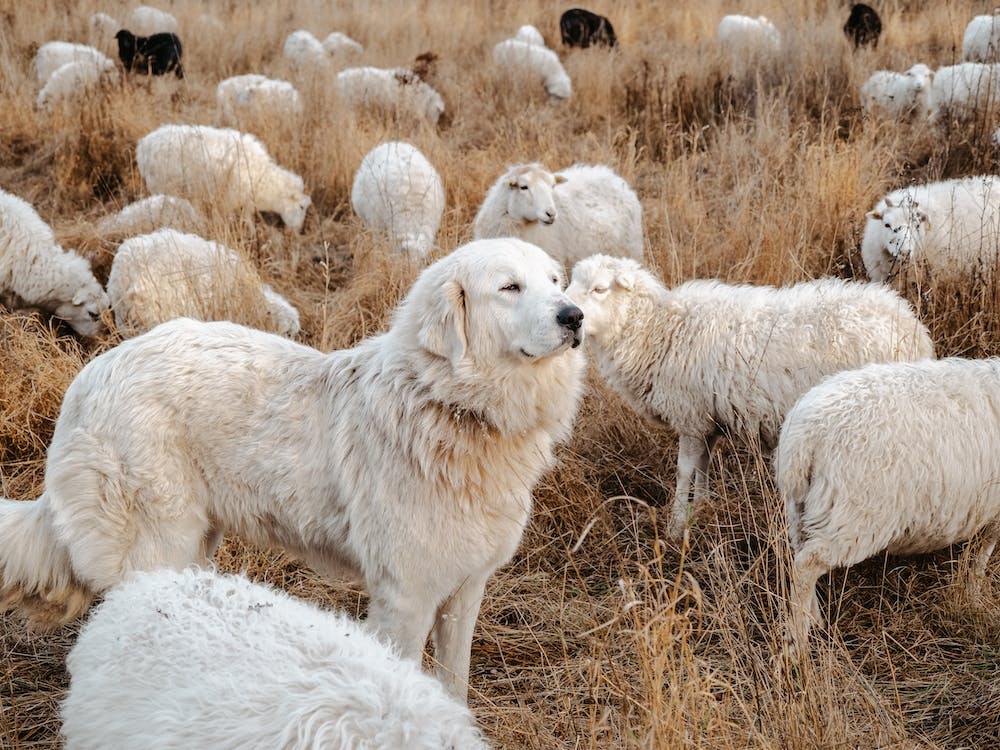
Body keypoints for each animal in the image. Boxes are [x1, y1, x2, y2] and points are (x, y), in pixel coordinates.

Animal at [136, 124, 312, 232]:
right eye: (301, 207)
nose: (298, 231)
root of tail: (143, 146)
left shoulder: (244, 200)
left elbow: (247, 219)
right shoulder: (228, 200)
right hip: (160, 185)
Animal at [565, 254, 935, 540]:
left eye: (599, 289)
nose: (572, 317)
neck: (659, 329)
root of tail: (913, 329)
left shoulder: (689, 415)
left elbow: (684, 471)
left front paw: (675, 526)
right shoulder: (707, 420)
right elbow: (703, 466)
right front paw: (702, 506)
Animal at [776, 357, 1000, 657]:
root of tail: (805, 436)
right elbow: (984, 550)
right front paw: (975, 594)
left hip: (802, 506)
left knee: (799, 554)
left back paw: (813, 619)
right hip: (855, 514)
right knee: (806, 566)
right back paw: (796, 646)